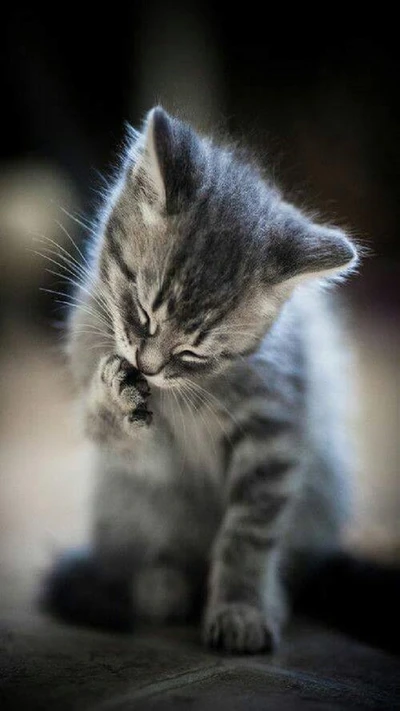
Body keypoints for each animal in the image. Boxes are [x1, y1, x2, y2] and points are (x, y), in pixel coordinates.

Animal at [45, 107, 358, 656]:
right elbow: (120, 438)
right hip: (119, 501)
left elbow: (248, 534)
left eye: (194, 350)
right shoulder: (152, 457)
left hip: (324, 489)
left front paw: (240, 609)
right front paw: (115, 402)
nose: (147, 365)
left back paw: (268, 596)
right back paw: (161, 583)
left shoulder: (275, 431)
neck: (189, 390)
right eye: (141, 310)